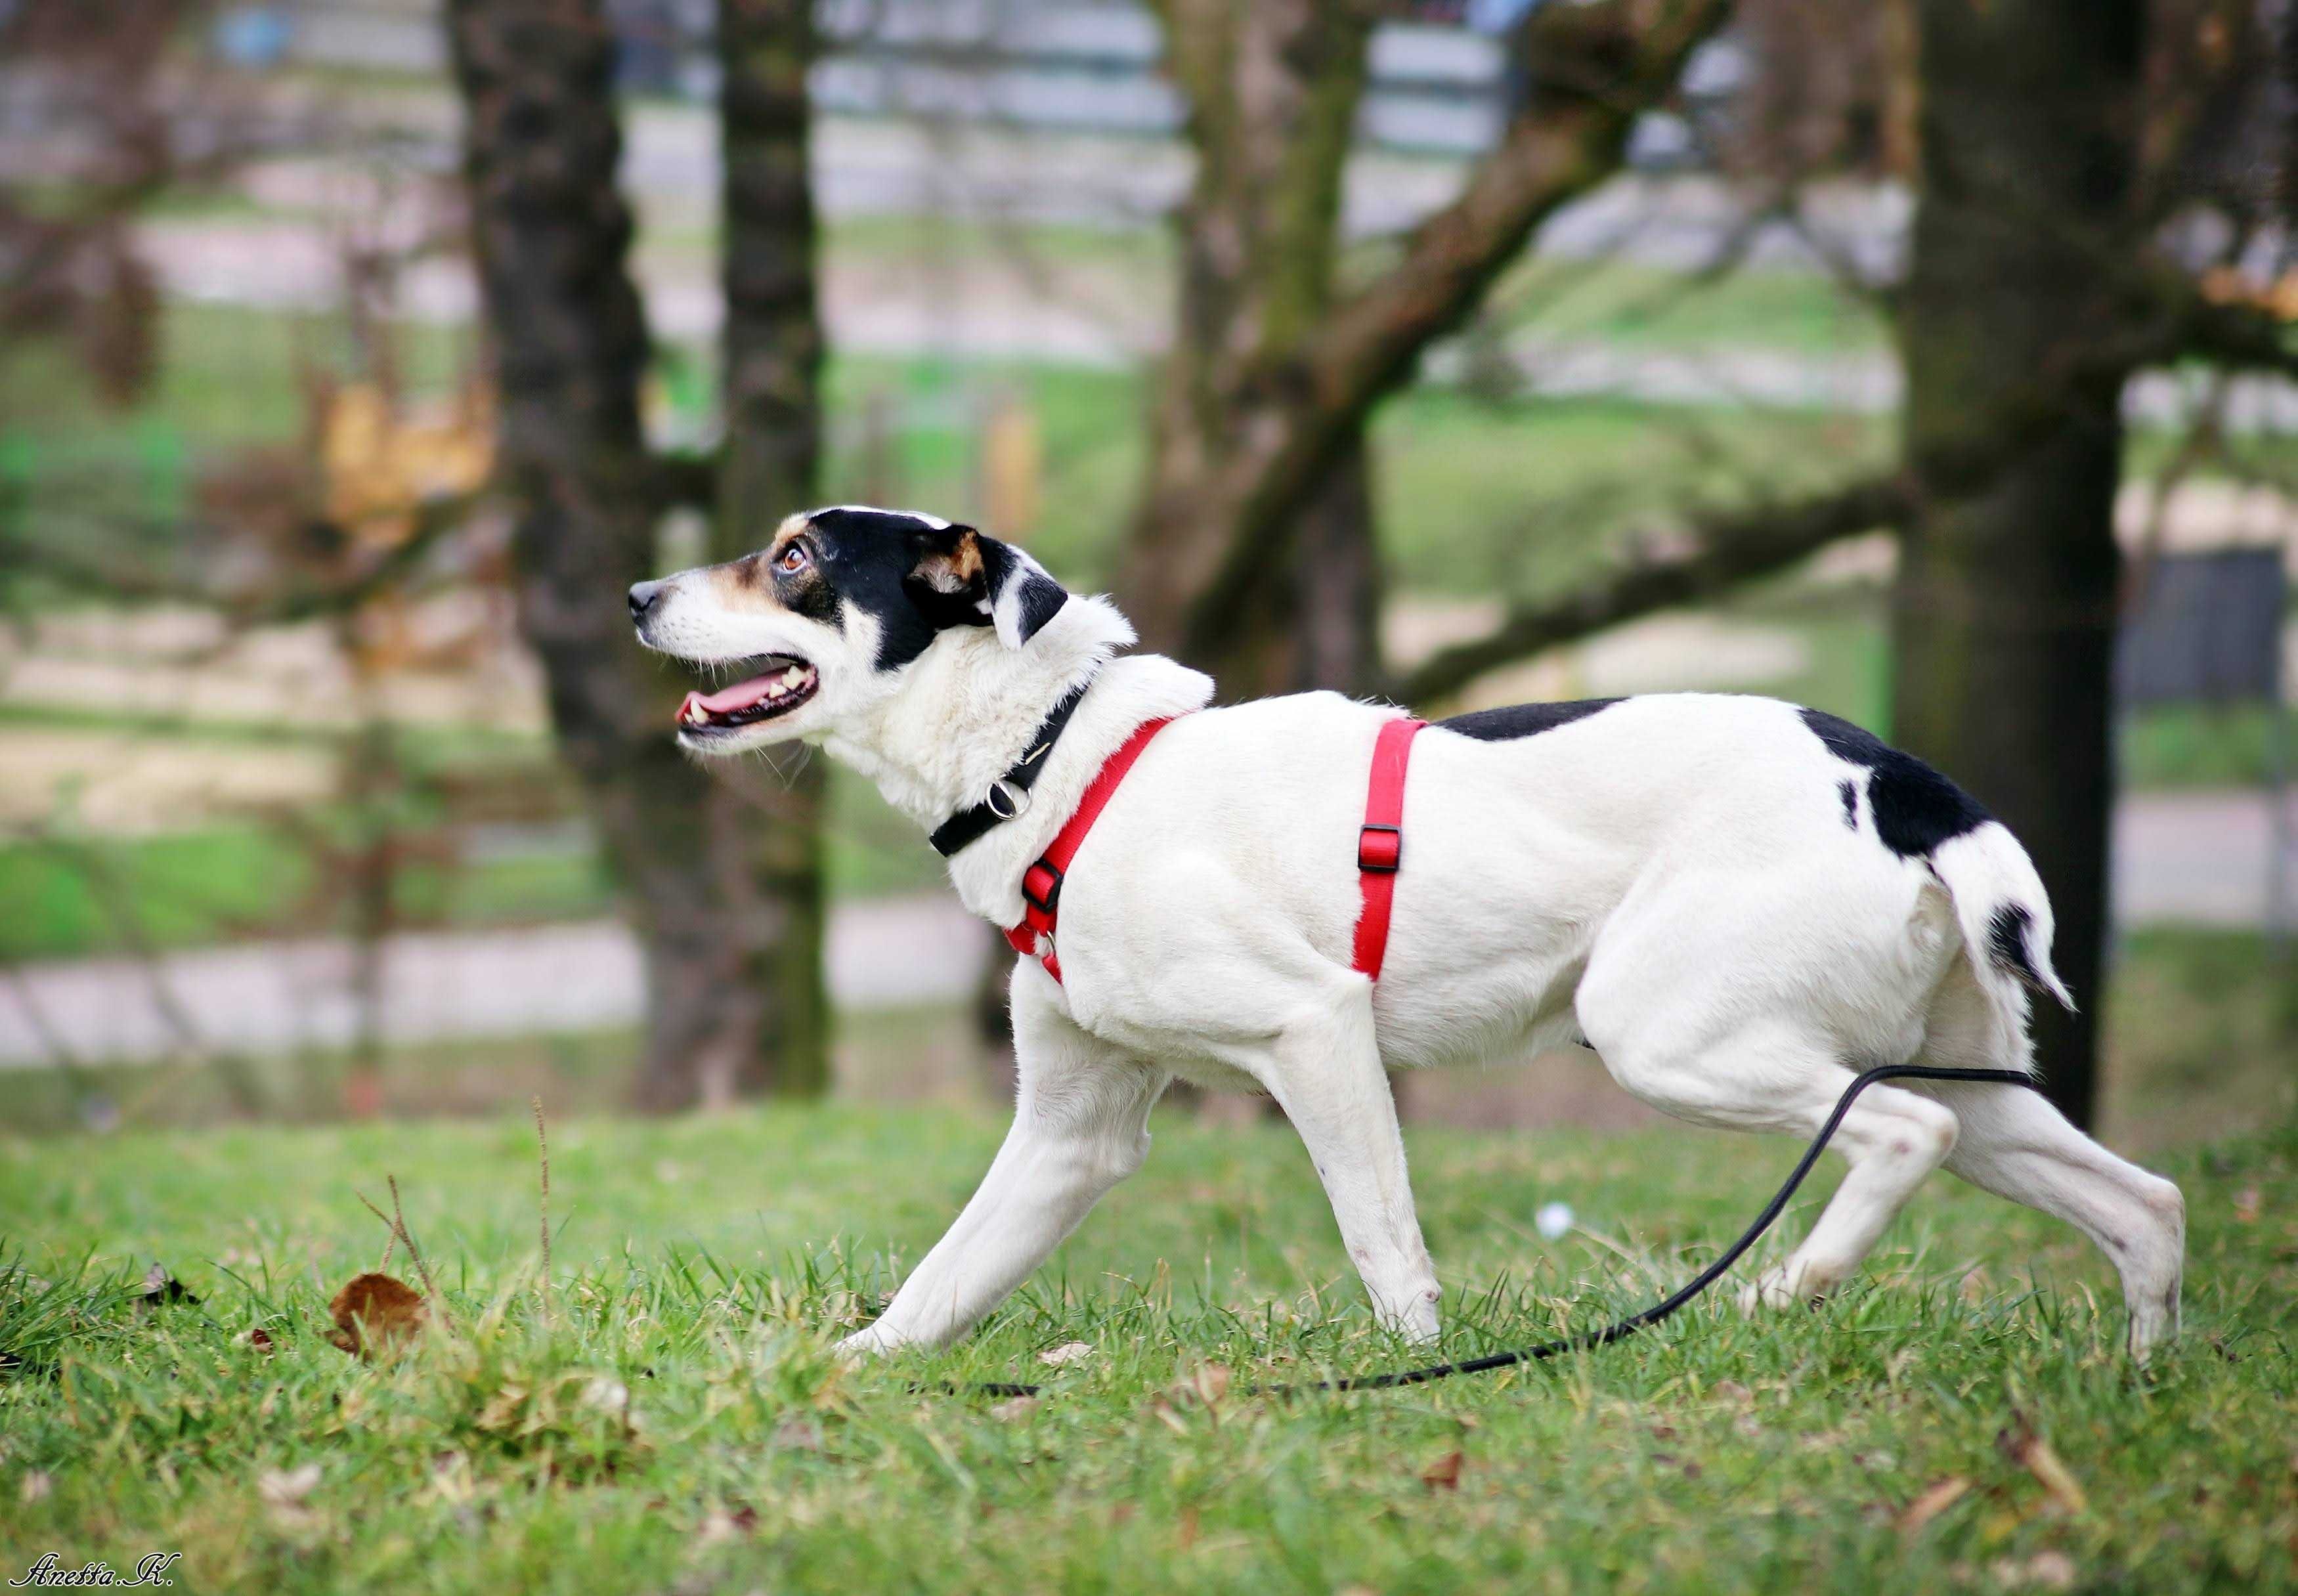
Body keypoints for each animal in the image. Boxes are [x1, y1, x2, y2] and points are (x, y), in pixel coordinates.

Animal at [630, 509, 2188, 1359]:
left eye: (793, 559)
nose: (638, 595)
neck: (1065, 752)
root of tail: (1908, 783)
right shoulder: (1071, 1136)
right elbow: (939, 1284)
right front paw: (852, 1372)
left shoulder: (1315, 1036)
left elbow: (1384, 1248)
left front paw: (1410, 1378)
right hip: (1973, 1083)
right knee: (2145, 1205)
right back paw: (2139, 1386)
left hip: (1672, 1037)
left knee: (1901, 1138)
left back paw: (1787, 1289)